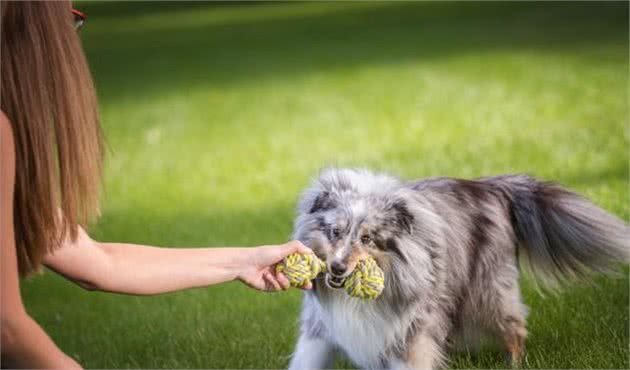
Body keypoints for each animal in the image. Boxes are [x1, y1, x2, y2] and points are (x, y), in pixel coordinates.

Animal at [288, 168, 628, 370]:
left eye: (367, 239)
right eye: (335, 232)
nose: (337, 269)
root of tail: (492, 187)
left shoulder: (409, 334)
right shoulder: (320, 329)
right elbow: (307, 358)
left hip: (487, 293)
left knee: (515, 328)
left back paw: (514, 363)